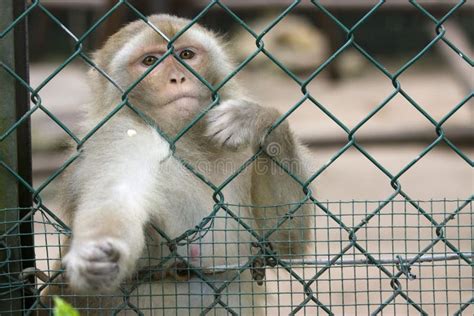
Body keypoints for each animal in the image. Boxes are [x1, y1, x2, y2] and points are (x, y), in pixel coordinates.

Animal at [40, 14, 314, 316]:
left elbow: (282, 243)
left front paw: (257, 118)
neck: (182, 142)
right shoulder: (120, 135)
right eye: (150, 61)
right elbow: (114, 194)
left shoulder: (239, 152)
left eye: (186, 55)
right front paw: (97, 253)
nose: (178, 77)